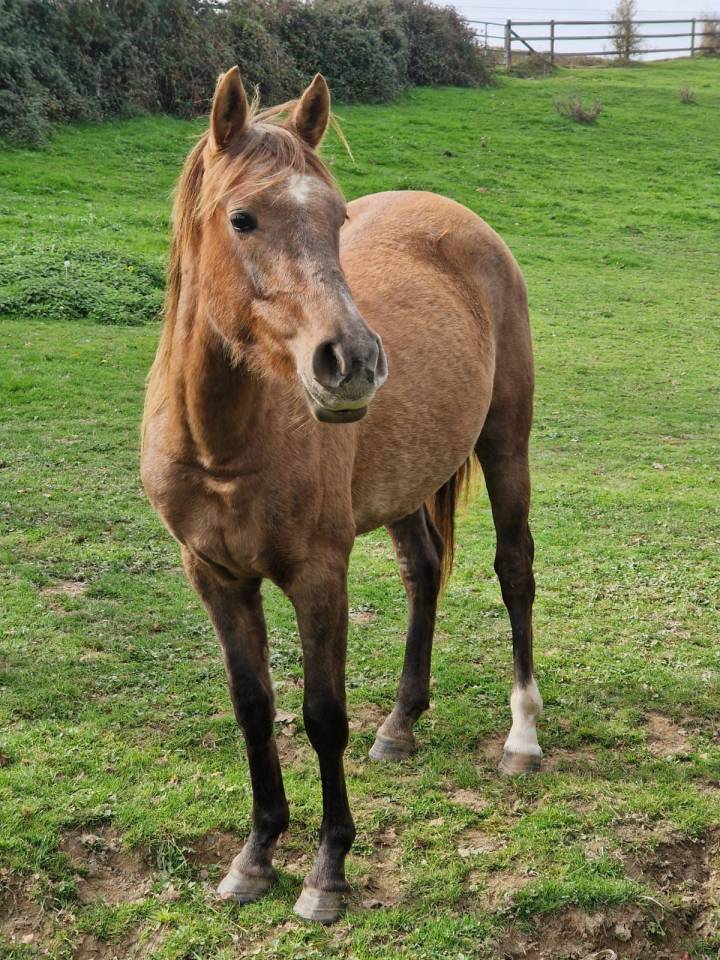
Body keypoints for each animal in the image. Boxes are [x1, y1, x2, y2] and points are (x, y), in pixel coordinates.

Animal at [141, 66, 542, 923]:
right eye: (243, 218)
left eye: (337, 217)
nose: (352, 363)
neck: (225, 441)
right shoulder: (213, 575)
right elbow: (254, 708)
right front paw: (255, 856)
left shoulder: (319, 574)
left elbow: (323, 716)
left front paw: (327, 872)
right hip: (404, 488)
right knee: (425, 570)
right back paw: (401, 723)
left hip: (506, 442)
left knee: (515, 569)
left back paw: (523, 737)